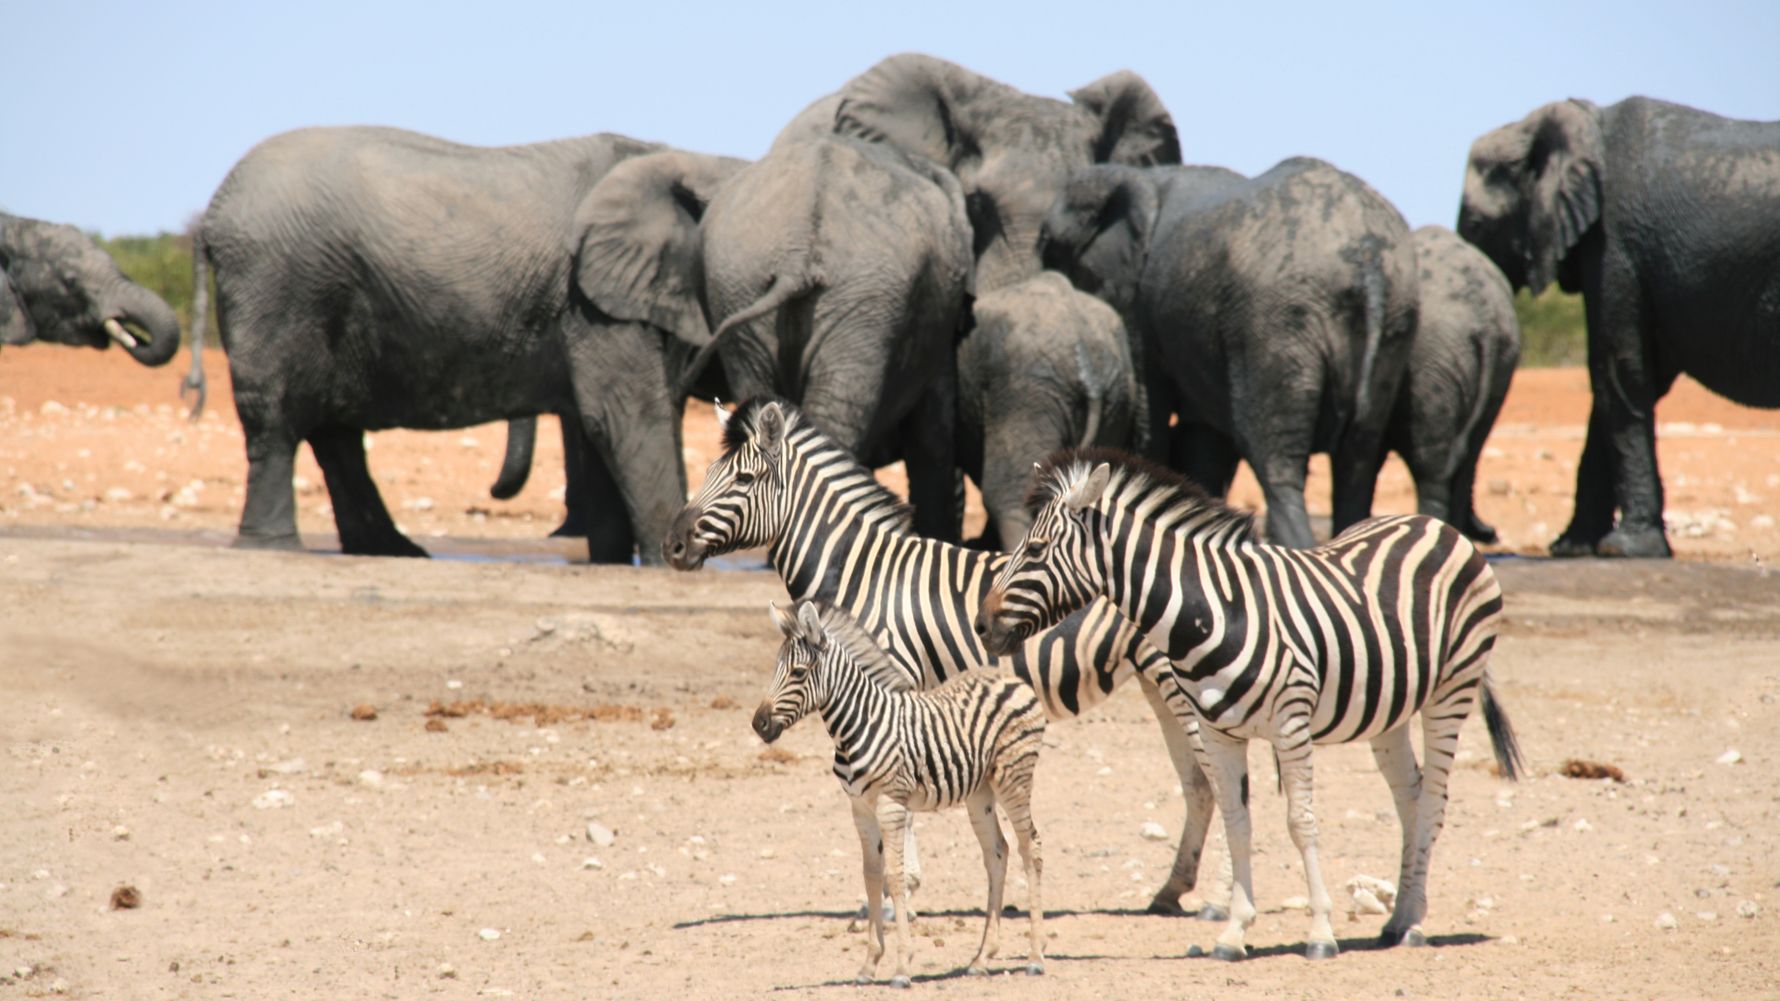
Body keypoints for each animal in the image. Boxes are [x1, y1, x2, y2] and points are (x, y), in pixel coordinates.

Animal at [662, 397, 1229, 917]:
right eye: (707, 474)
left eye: (743, 479)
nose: (671, 545)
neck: (863, 573)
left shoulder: (891, 683)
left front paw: (902, 894)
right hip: (1158, 684)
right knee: (1200, 784)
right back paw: (1171, 891)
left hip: (1183, 684)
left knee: (1218, 779)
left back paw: (1222, 905)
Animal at [755, 598, 1046, 986]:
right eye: (776, 668)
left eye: (799, 672)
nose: (758, 724)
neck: (858, 724)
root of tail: (1011, 679)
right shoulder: (860, 808)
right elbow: (871, 876)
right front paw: (868, 965)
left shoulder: (891, 803)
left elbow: (894, 876)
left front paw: (902, 968)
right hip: (980, 793)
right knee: (997, 853)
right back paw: (982, 957)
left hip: (1015, 777)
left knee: (1032, 848)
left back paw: (1035, 957)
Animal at [978, 450, 1522, 961]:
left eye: (1035, 549)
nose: (982, 625)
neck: (1214, 612)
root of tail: (1436, 524)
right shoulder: (1219, 732)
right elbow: (1237, 823)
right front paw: (1234, 933)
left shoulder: (1291, 723)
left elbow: (1301, 822)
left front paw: (1320, 933)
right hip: (1387, 709)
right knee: (1409, 796)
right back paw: (1399, 916)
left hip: (1452, 689)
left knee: (1432, 800)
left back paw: (1414, 925)